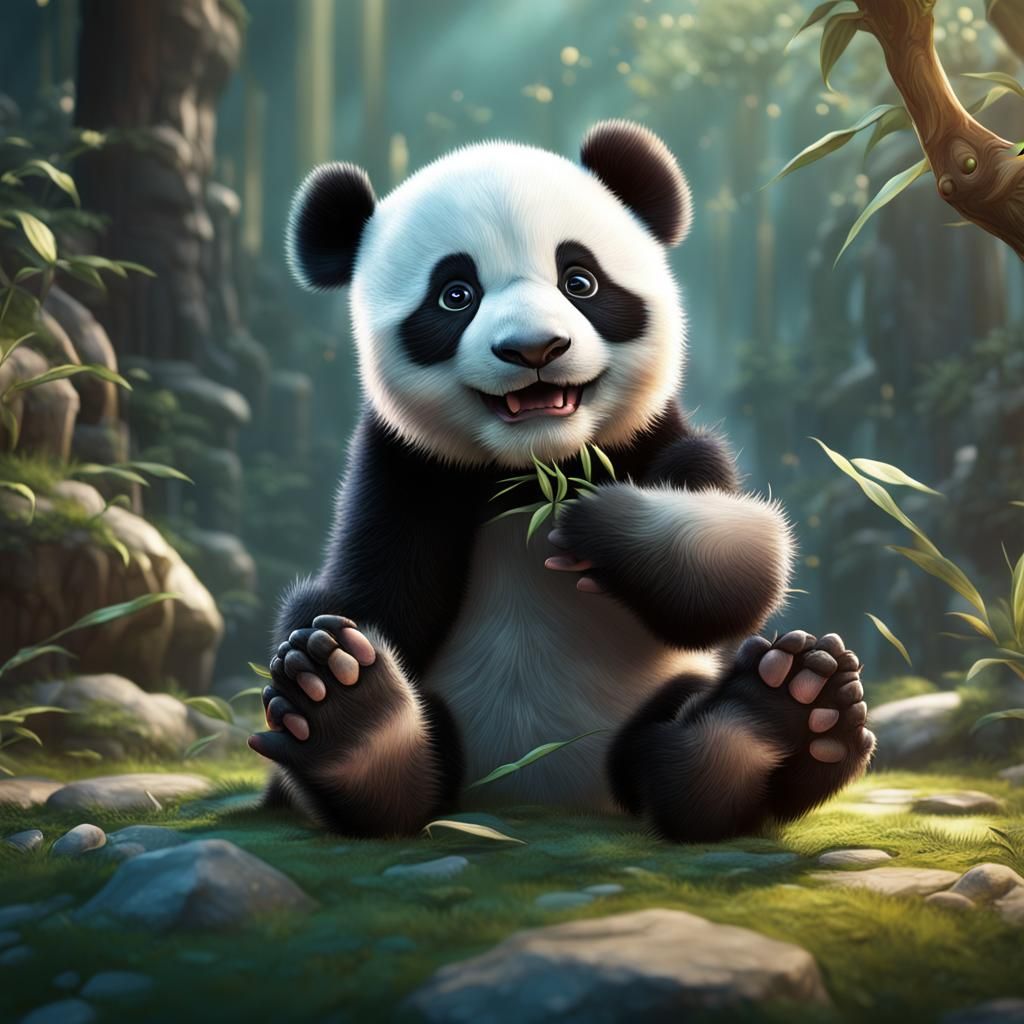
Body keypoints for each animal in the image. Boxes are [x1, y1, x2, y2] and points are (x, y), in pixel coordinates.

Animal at [249, 120, 875, 841]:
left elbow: (742, 560)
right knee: (397, 757)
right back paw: (346, 716)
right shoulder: (406, 469)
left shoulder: (658, 438)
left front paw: (599, 526)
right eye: (455, 295)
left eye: (580, 281)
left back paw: (780, 712)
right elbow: (367, 595)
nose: (534, 350)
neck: (533, 466)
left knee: (686, 742)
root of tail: (542, 791)